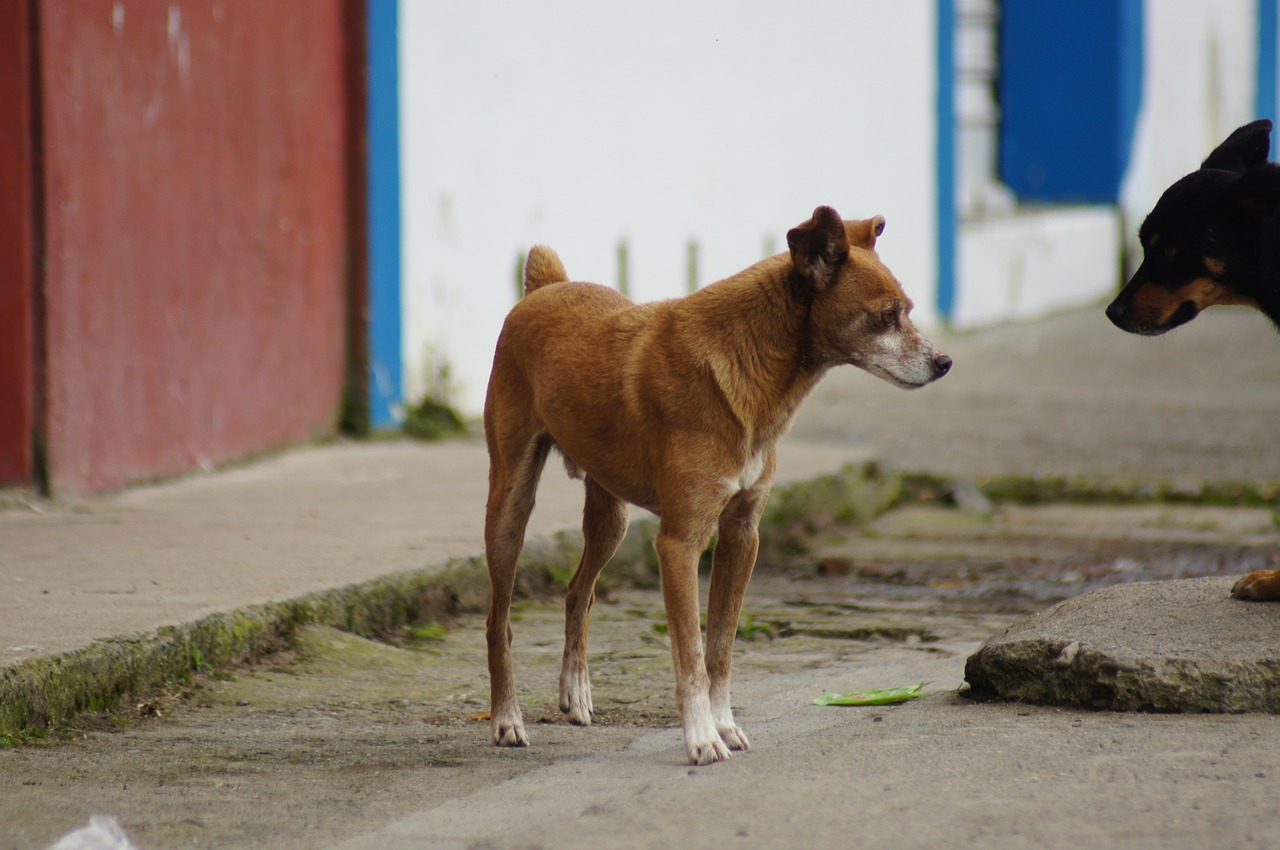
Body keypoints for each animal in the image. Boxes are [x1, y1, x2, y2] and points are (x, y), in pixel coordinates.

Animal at [481, 206, 952, 762]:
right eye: (886, 316)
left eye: (909, 310)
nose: (944, 362)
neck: (753, 369)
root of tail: (545, 288)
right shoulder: (680, 543)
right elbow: (691, 654)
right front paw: (702, 738)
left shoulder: (741, 535)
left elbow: (721, 648)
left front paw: (724, 724)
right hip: (509, 509)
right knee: (499, 623)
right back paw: (506, 719)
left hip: (612, 518)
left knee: (579, 592)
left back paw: (575, 693)